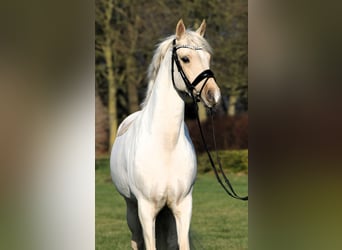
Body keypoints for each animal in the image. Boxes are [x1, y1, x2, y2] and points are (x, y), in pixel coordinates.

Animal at [110, 20, 222, 250]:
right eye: (185, 58)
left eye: (208, 57)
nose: (213, 95)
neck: (165, 145)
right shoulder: (145, 209)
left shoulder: (182, 205)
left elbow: (181, 243)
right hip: (132, 209)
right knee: (136, 239)